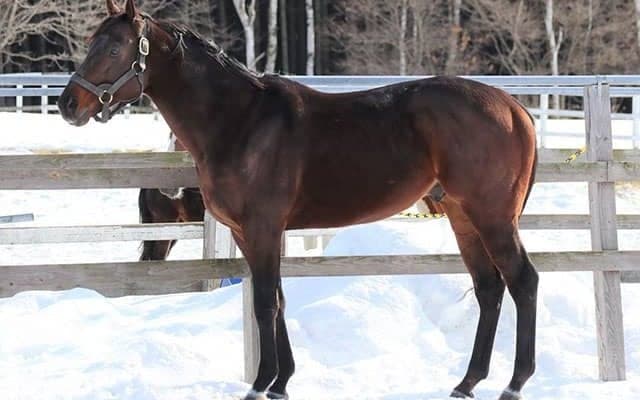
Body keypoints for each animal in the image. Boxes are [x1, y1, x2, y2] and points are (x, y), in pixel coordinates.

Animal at [58, 1, 538, 399]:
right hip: (462, 217)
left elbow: (264, 303)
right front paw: (281, 382)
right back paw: (467, 382)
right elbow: (278, 300)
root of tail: (514, 108)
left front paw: (260, 383)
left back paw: (514, 383)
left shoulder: (263, 229)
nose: (68, 104)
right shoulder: (248, 234)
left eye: (115, 48)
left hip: (492, 217)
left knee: (522, 282)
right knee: (489, 288)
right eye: (92, 42)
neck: (241, 122)